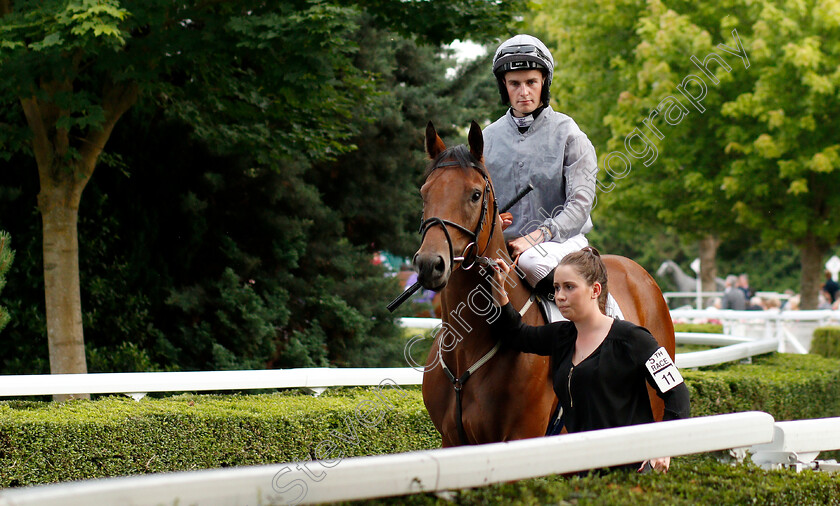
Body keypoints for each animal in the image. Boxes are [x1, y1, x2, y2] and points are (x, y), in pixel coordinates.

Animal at [414, 121, 676, 446]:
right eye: (424, 193)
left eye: (475, 194)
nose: (430, 263)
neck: (467, 350)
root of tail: (643, 276)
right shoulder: (451, 440)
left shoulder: (521, 435)